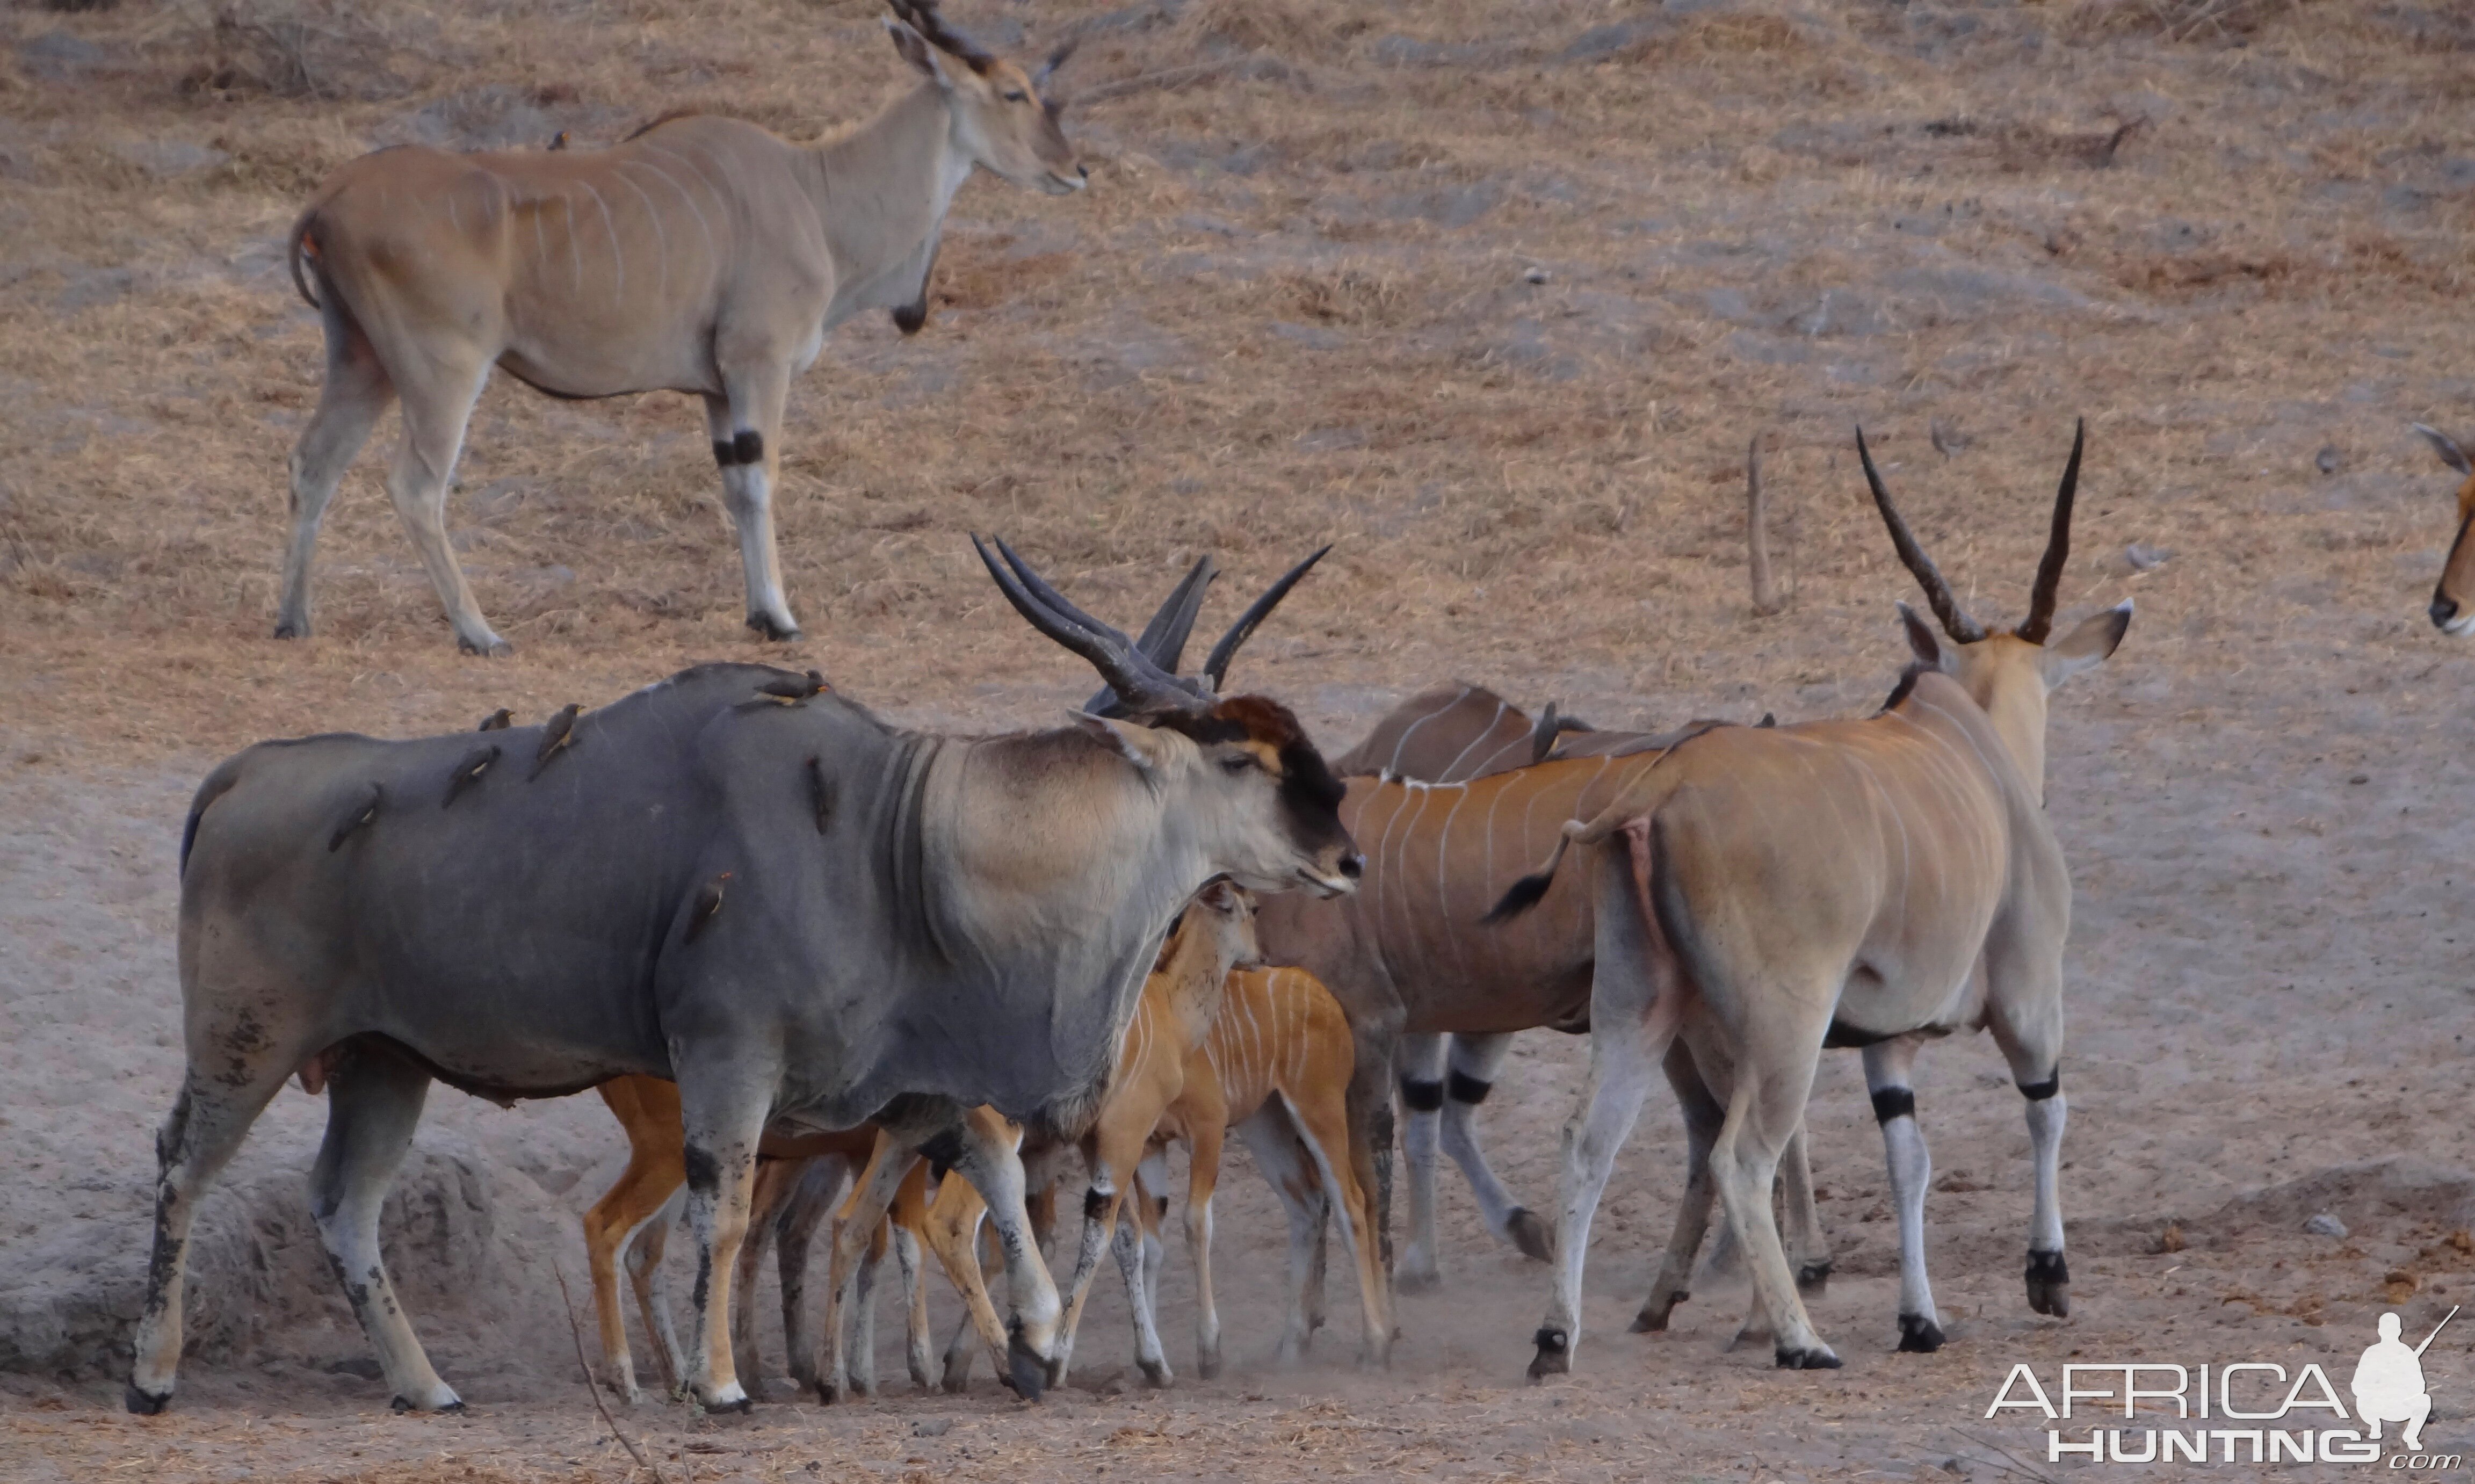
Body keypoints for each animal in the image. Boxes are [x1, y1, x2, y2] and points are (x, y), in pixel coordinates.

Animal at [125, 544, 1366, 1415]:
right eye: (1241, 758)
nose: (1350, 858)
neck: (897, 837)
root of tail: (239, 777)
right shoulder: (735, 1057)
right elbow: (726, 1212)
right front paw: (718, 1382)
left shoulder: (917, 1086)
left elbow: (992, 1181)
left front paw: (1034, 1344)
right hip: (246, 1042)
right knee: (183, 1169)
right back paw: (152, 1374)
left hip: (387, 1062)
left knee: (345, 1201)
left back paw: (424, 1385)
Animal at [273, 1, 1084, 648]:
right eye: (1013, 92)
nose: (1074, 172)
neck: (814, 190)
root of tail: (330, 198)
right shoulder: (758, 364)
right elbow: (761, 478)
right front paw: (781, 619)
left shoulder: (718, 389)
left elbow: (735, 483)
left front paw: (758, 614)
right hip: (443, 372)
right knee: (416, 485)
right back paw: (479, 632)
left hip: (363, 363)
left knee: (314, 461)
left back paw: (294, 620)